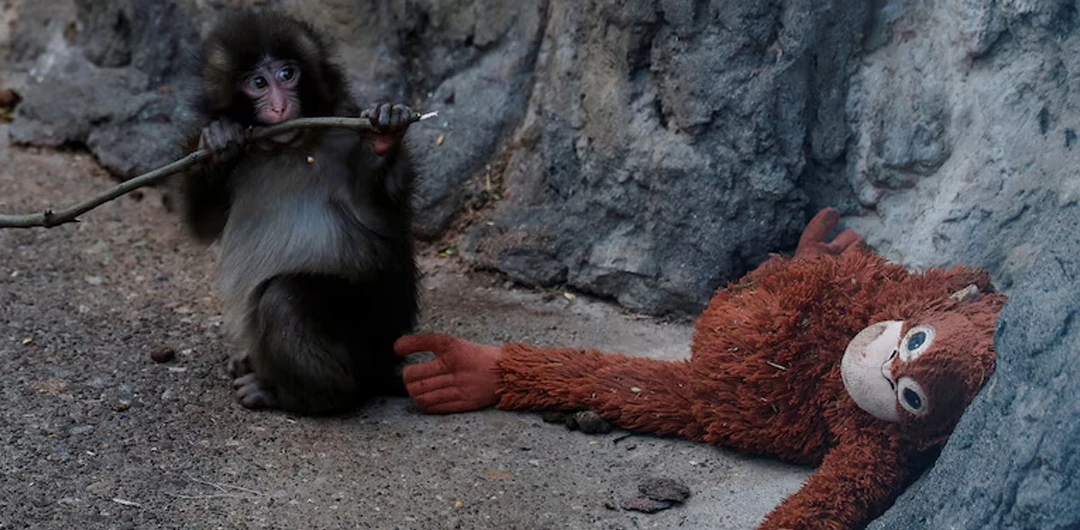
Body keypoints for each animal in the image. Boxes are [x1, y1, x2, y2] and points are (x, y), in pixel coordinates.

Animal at [179, 9, 420, 415]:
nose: (279, 106)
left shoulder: (344, 134)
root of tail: (385, 363)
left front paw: (384, 138)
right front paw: (218, 139)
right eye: (258, 83)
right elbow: (204, 224)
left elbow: (382, 220)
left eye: (287, 74)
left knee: (284, 297)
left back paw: (302, 395)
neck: (287, 147)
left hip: (366, 338)